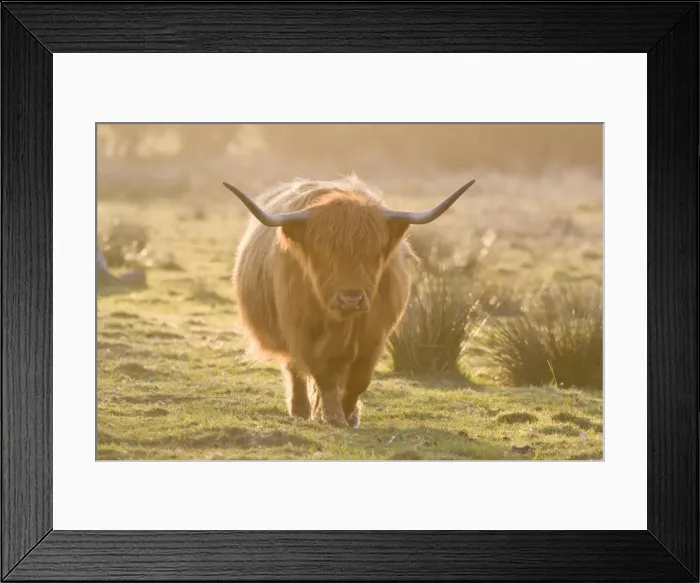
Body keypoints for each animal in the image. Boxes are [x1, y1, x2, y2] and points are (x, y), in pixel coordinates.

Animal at [224, 174, 475, 427]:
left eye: (373, 252)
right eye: (324, 252)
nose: (350, 300)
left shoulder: (375, 336)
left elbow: (359, 380)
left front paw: (348, 413)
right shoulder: (303, 334)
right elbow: (323, 375)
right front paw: (334, 416)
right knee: (295, 369)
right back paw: (301, 409)